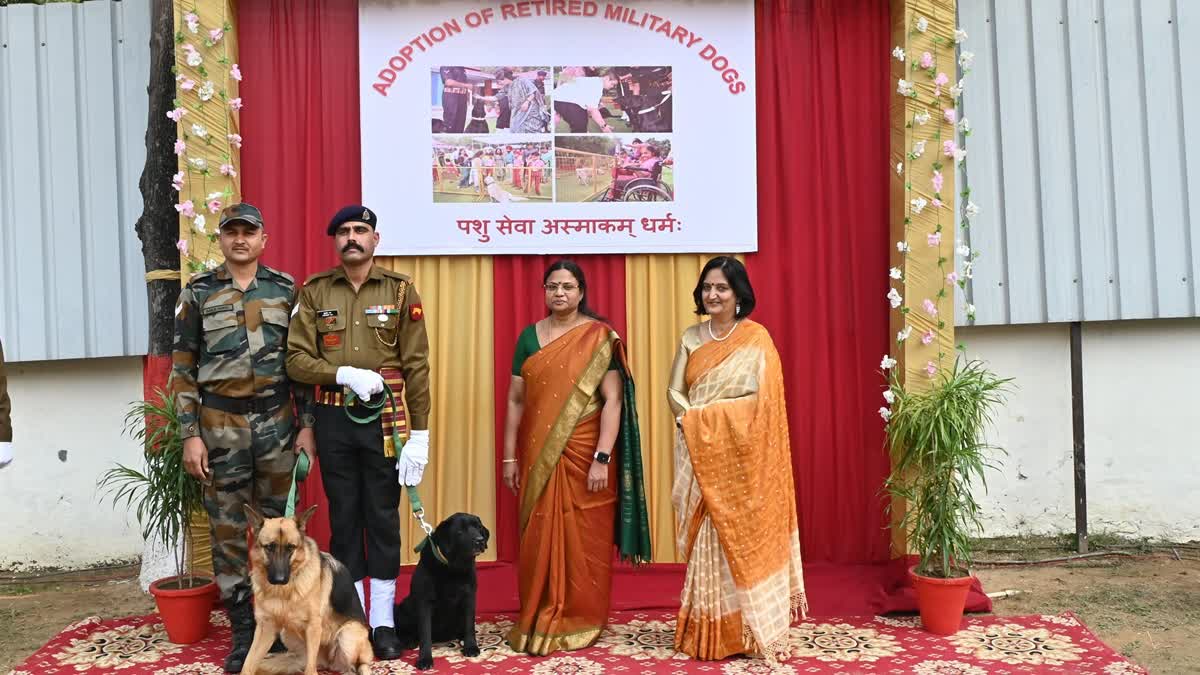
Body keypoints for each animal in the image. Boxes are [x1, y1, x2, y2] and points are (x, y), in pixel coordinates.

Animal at [241, 504, 372, 672]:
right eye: (269, 547)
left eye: (291, 547)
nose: (279, 579)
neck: (283, 591)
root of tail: (328, 663)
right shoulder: (265, 627)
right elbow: (248, 663)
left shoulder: (313, 627)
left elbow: (310, 670)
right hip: (286, 633)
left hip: (347, 635)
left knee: (358, 665)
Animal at [393, 509, 487, 667]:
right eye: (460, 531)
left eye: (479, 528)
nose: (480, 540)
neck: (453, 568)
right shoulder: (425, 602)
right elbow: (425, 634)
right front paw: (425, 659)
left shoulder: (469, 597)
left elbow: (469, 625)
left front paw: (471, 647)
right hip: (402, 606)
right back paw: (408, 640)